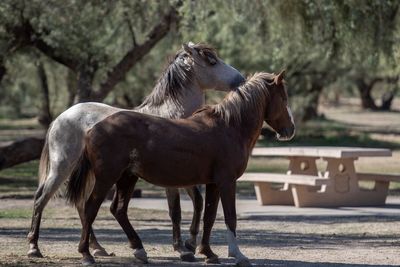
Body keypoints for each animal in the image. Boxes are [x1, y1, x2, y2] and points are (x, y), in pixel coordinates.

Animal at [27, 43, 244, 262]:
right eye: (212, 61)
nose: (241, 79)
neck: (174, 118)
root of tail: (60, 118)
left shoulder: (186, 176)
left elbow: (198, 203)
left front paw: (190, 243)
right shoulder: (172, 181)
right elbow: (175, 211)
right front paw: (181, 249)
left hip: (90, 175)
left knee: (81, 205)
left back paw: (97, 248)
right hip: (62, 168)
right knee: (41, 199)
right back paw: (34, 248)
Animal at [69, 70, 294, 266]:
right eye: (283, 98)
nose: (290, 130)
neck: (229, 127)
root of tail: (93, 129)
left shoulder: (213, 183)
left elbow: (209, 216)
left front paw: (208, 253)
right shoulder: (227, 182)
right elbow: (230, 217)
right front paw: (238, 255)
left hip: (127, 177)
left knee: (118, 210)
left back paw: (139, 249)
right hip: (107, 178)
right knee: (90, 208)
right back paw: (87, 254)